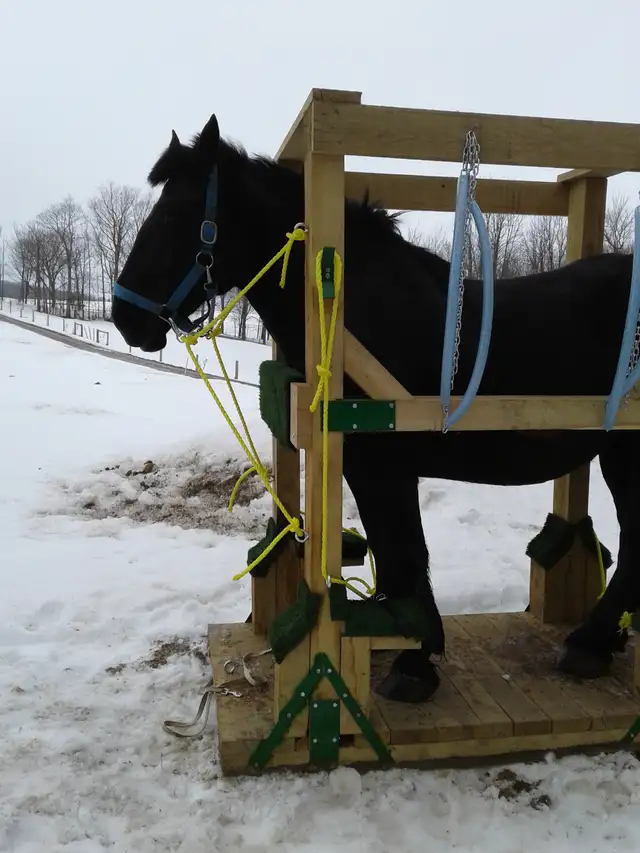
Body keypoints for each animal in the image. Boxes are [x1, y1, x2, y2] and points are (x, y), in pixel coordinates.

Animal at [112, 113, 640, 704]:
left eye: (174, 214)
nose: (123, 316)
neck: (354, 313)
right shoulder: (365, 468)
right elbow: (392, 558)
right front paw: (398, 638)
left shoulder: (386, 466)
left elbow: (405, 552)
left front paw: (415, 663)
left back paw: (590, 643)